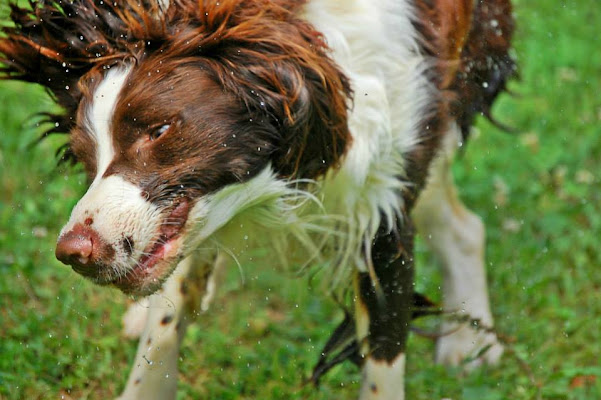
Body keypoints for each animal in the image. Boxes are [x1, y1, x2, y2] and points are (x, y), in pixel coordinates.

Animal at [1, 1, 516, 398]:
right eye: (84, 155)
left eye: (160, 129)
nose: (73, 252)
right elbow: (163, 327)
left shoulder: (383, 207)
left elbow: (383, 355)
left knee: (464, 224)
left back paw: (472, 346)